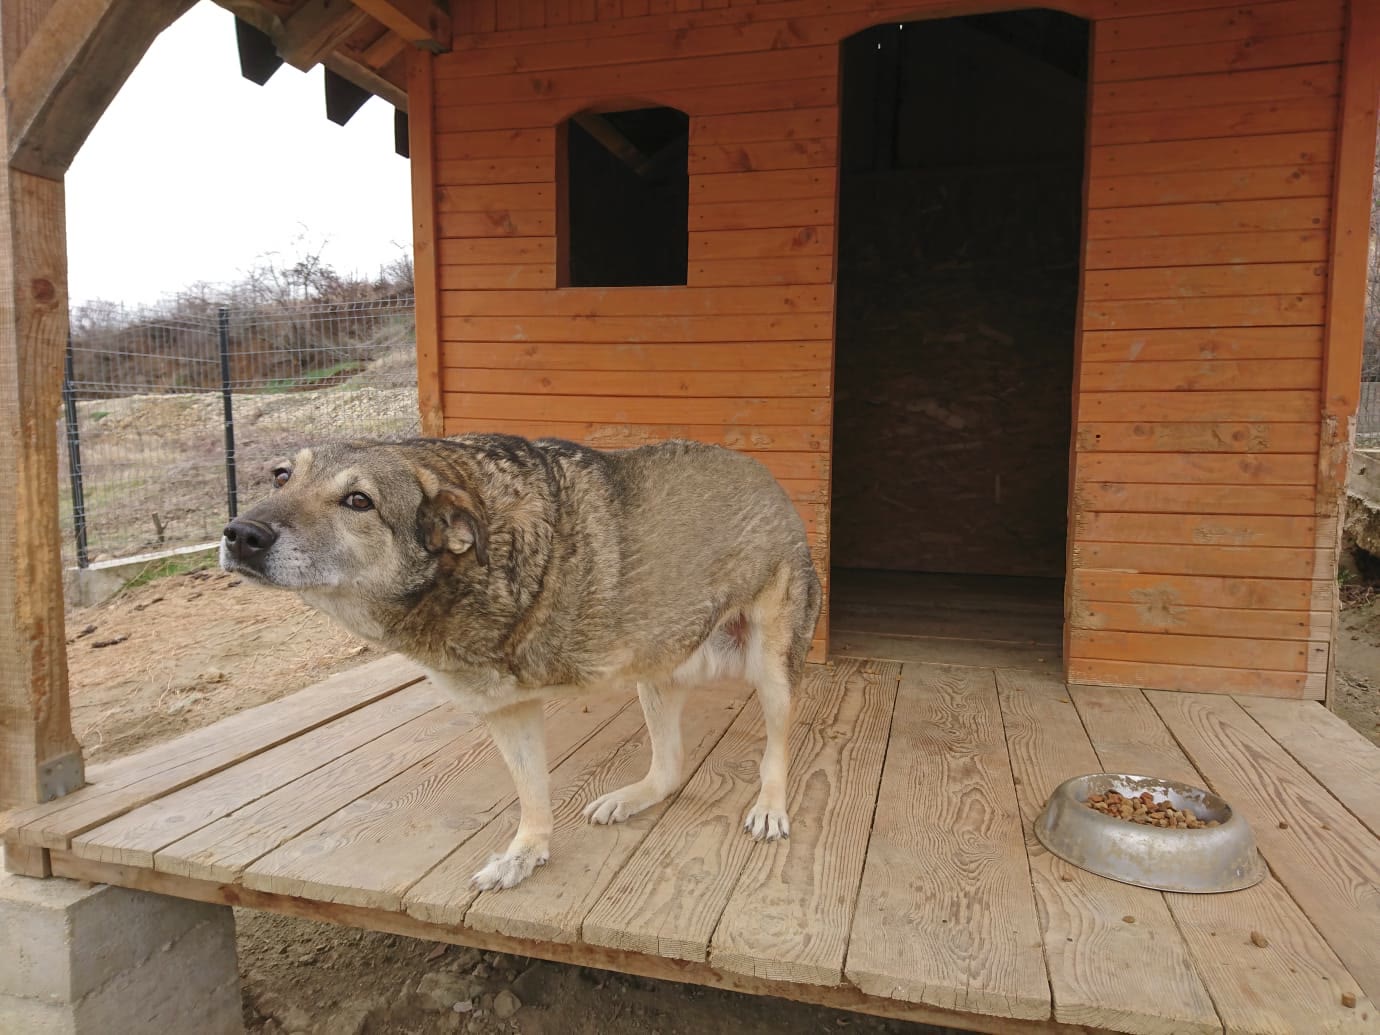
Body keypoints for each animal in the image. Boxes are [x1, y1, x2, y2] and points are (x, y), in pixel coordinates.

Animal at [221, 433, 822, 890]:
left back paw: (771, 806)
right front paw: (524, 856)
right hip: (655, 673)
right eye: (281, 477)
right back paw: (631, 799)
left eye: (359, 501)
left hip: (772, 672)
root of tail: (766, 475)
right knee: (670, 767)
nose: (241, 534)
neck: (465, 572)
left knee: (776, 750)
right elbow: (533, 797)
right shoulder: (507, 712)